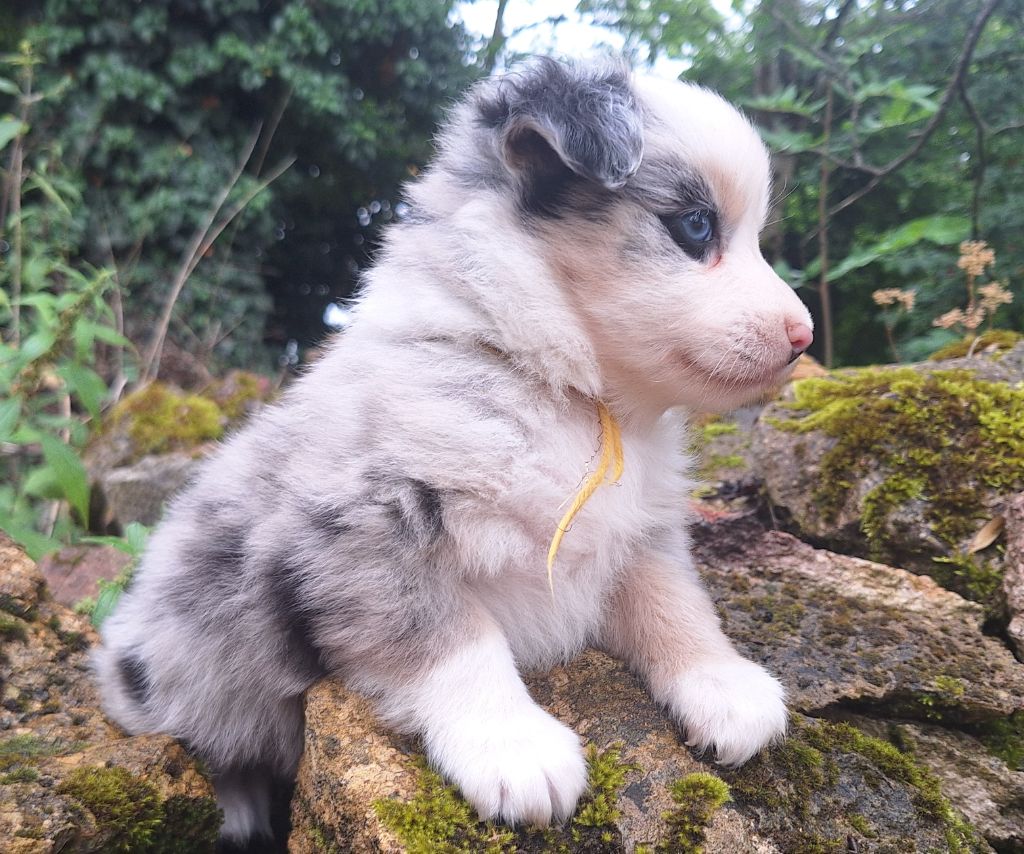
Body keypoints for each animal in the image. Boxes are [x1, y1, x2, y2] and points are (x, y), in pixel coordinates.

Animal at [96, 57, 813, 846]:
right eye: (694, 225)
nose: (804, 336)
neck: (569, 394)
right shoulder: (366, 531)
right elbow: (454, 640)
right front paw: (515, 749)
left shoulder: (638, 531)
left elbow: (675, 601)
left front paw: (724, 685)